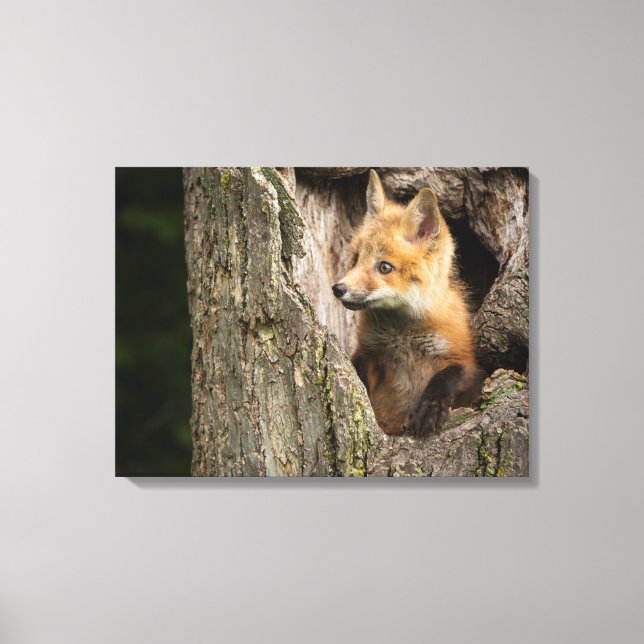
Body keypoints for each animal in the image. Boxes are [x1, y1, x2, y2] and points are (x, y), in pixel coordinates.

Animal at [332, 169, 483, 437]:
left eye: (384, 267)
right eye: (357, 258)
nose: (338, 289)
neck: (403, 336)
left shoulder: (464, 359)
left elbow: (447, 376)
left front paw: (430, 409)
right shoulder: (368, 352)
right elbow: (359, 374)